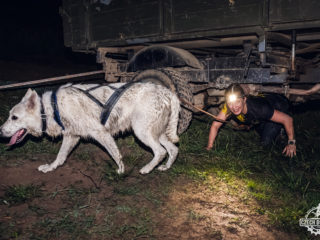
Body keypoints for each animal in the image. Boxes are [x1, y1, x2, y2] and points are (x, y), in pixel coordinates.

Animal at [0, 82, 180, 174]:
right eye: (9, 115)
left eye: (14, 117)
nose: (0, 131)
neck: (51, 108)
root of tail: (168, 92)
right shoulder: (71, 136)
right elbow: (60, 157)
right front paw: (51, 167)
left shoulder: (100, 132)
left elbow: (115, 154)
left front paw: (121, 170)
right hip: (157, 133)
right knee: (173, 149)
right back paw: (165, 167)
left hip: (142, 132)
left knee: (160, 151)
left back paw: (147, 169)